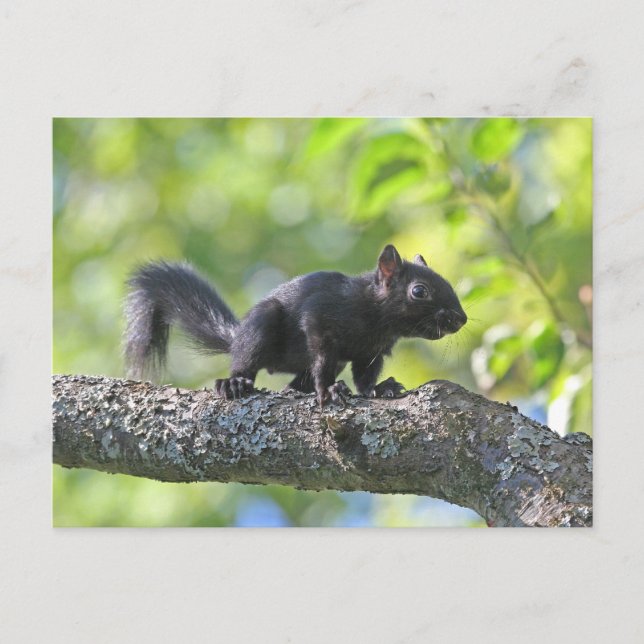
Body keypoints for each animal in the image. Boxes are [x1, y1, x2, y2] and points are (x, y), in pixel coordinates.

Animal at [124, 244, 467, 406]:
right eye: (419, 291)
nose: (461, 319)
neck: (376, 319)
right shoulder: (320, 316)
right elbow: (322, 358)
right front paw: (328, 389)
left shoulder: (373, 352)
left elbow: (365, 377)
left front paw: (381, 388)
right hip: (261, 326)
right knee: (246, 360)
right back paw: (235, 383)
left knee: (294, 382)